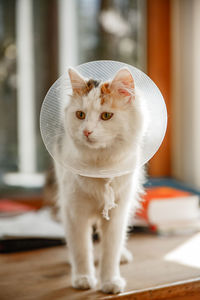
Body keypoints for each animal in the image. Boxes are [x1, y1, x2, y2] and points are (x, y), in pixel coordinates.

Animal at [54, 67, 147, 294]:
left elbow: (110, 250)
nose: (87, 131)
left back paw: (123, 255)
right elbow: (81, 248)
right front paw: (83, 278)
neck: (101, 164)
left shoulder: (117, 213)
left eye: (106, 116)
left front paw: (110, 282)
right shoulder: (74, 211)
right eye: (80, 115)